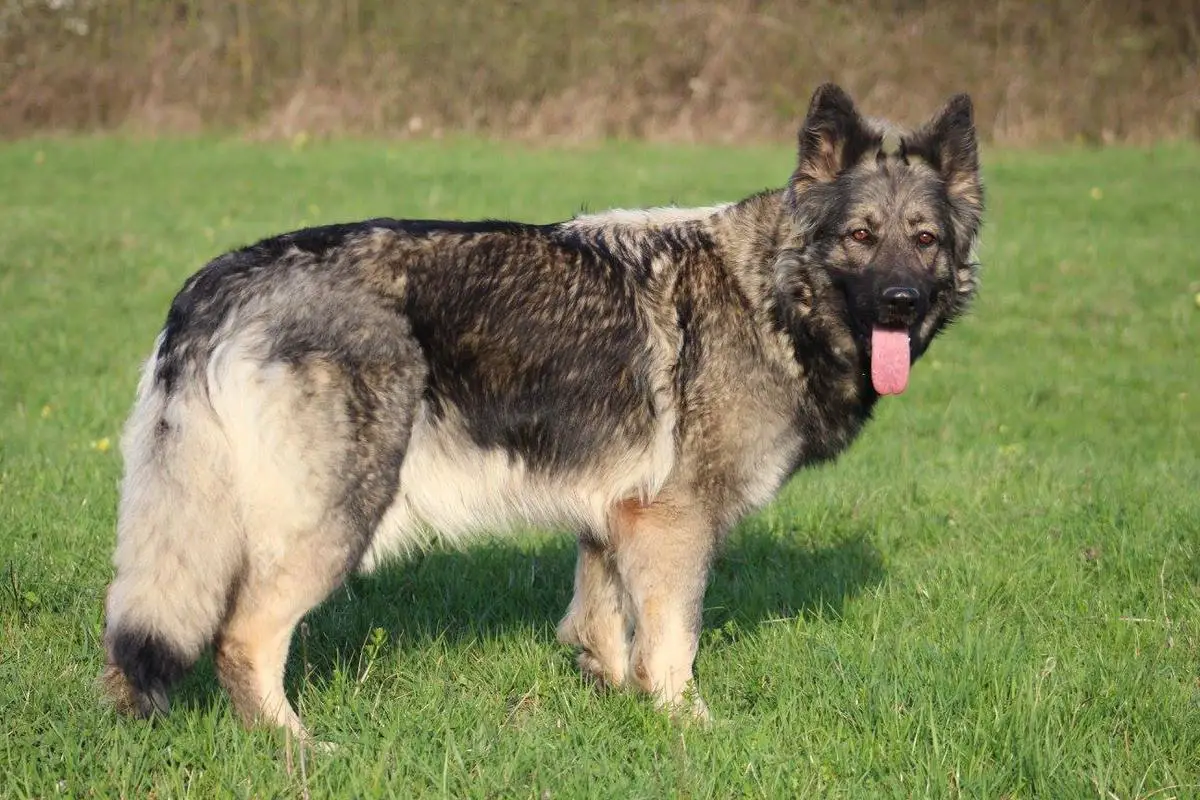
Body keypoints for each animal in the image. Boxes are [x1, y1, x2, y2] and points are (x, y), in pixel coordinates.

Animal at [98, 84, 984, 743]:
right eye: (861, 236)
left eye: (925, 240)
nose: (900, 304)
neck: (768, 294)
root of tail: (219, 280)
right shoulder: (677, 526)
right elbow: (674, 646)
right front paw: (691, 728)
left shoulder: (615, 519)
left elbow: (605, 634)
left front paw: (616, 701)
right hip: (340, 518)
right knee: (242, 639)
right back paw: (299, 750)